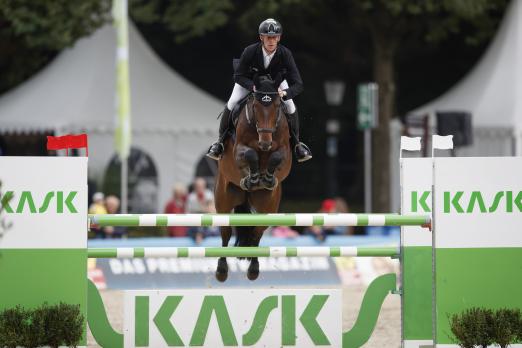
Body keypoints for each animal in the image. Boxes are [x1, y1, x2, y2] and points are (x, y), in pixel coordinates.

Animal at [212, 75, 292, 282]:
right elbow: (249, 154)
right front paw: (253, 177)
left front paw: (266, 178)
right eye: (255, 106)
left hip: (267, 205)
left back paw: (253, 268)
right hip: (224, 200)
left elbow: (277, 157)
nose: (265, 143)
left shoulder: (285, 154)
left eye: (277, 106)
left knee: (257, 232)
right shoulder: (238, 149)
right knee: (226, 232)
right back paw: (221, 270)